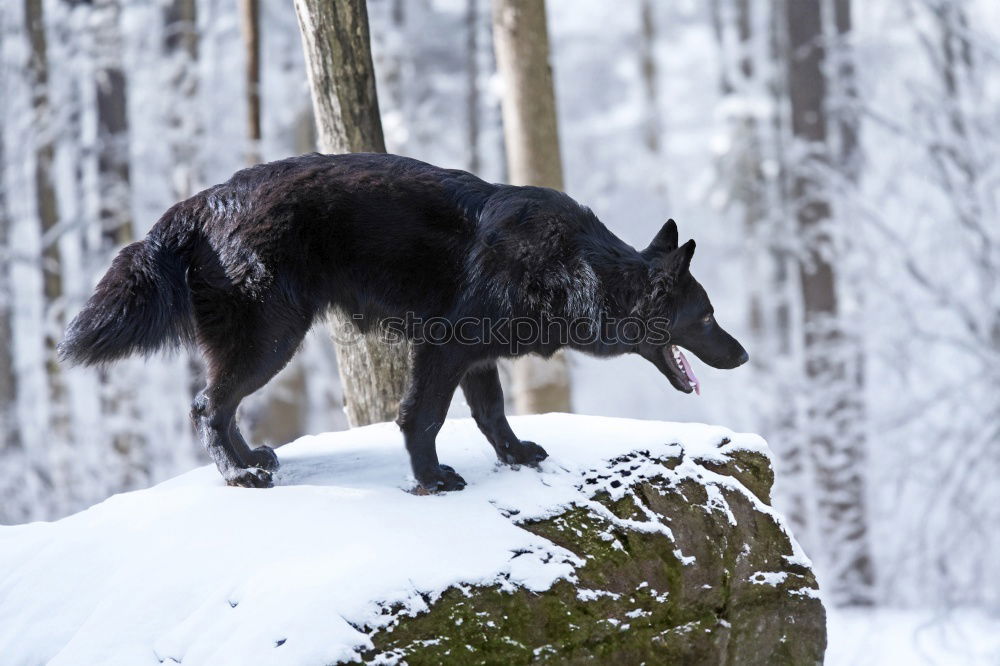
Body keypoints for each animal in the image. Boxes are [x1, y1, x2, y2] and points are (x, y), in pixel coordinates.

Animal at [58, 153, 748, 490]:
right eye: (709, 316)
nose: (743, 356)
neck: (579, 271)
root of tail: (200, 203)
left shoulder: (477, 357)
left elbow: (493, 414)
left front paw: (514, 456)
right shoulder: (442, 350)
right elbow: (423, 417)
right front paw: (431, 479)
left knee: (219, 408)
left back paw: (251, 459)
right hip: (272, 341)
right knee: (207, 405)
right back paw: (240, 474)